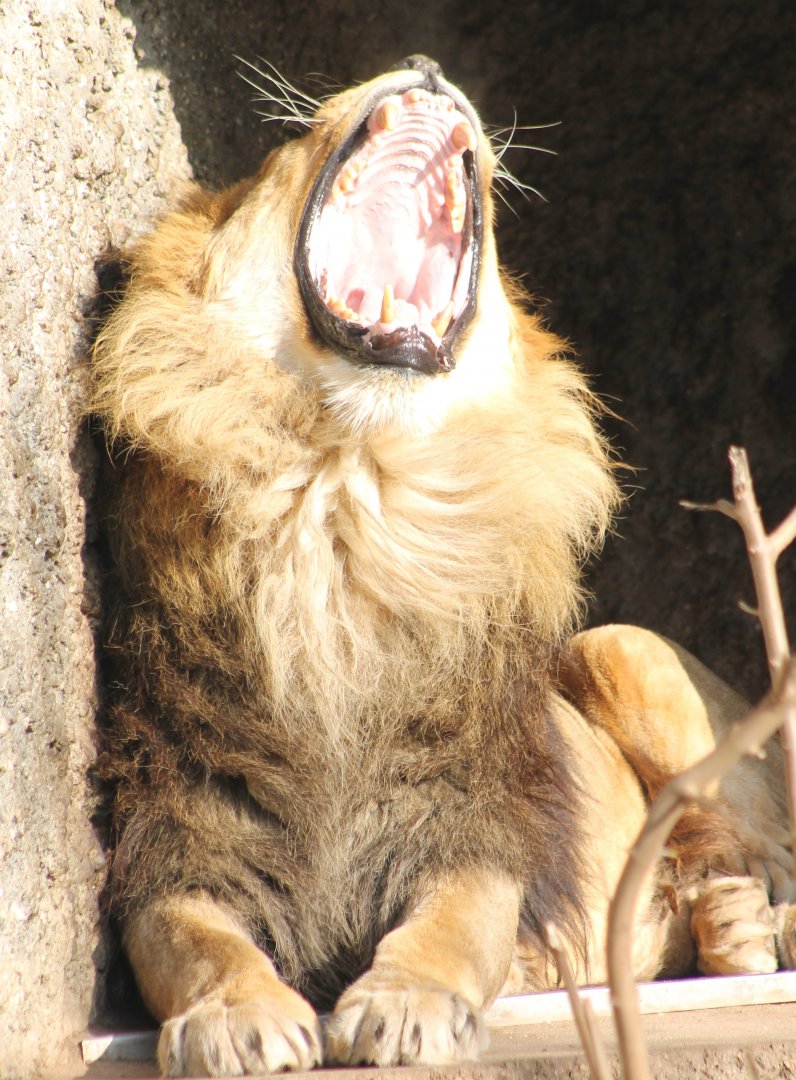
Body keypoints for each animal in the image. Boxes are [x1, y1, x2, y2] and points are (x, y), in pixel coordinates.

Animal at [91, 55, 795, 1077]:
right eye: (285, 142)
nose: (424, 65)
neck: (348, 488)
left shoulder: (475, 817)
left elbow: (455, 924)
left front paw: (405, 1004)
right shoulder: (181, 824)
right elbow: (190, 939)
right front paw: (236, 1015)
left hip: (615, 646)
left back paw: (751, 928)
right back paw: (729, 926)